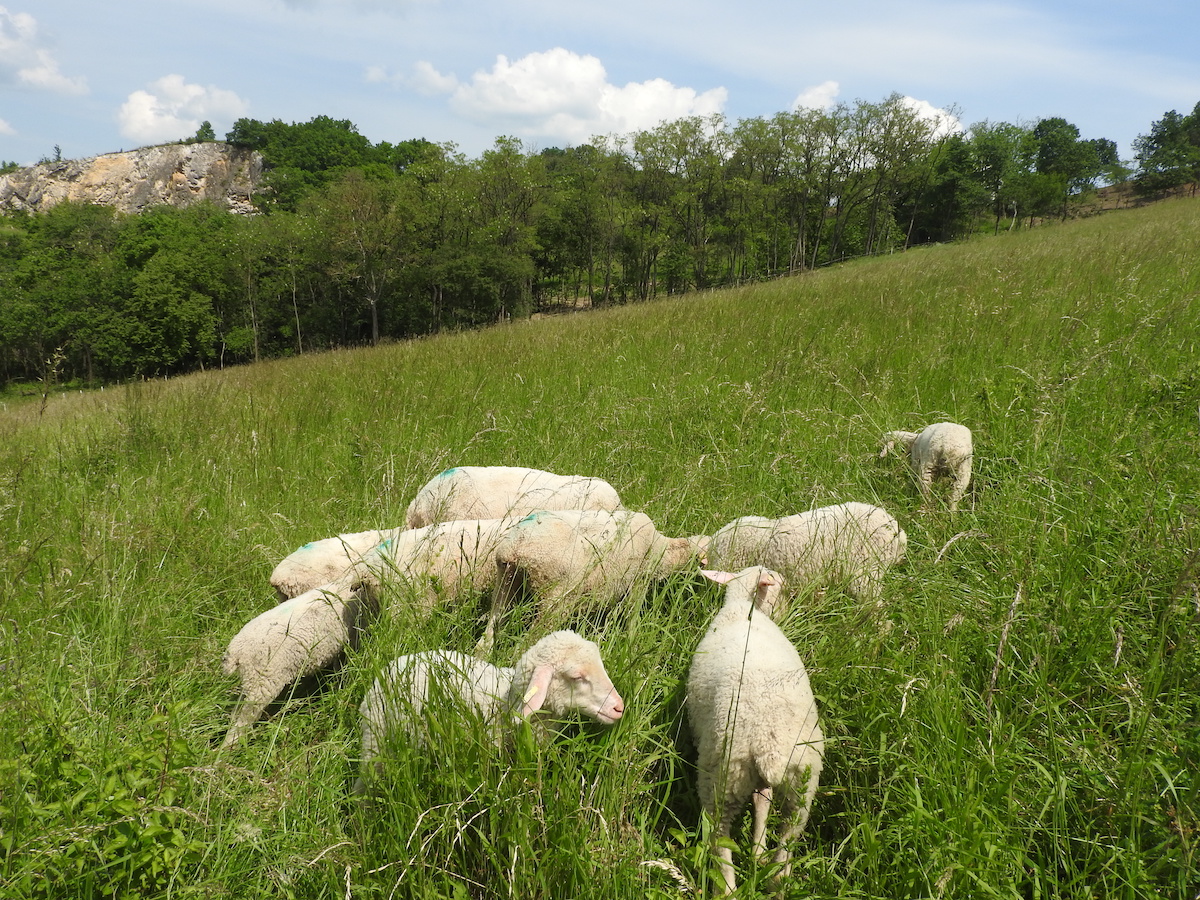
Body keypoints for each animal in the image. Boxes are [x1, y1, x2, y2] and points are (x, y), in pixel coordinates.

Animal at [221, 572, 375, 748]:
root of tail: (236, 651)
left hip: (252, 680)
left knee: (237, 712)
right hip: (262, 682)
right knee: (243, 719)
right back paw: (230, 748)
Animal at [479, 508, 710, 653]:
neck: (664, 550)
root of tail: (516, 546)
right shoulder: (638, 581)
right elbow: (632, 617)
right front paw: (631, 643)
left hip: (506, 582)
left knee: (489, 635)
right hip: (556, 598)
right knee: (527, 643)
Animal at [686, 567, 824, 895]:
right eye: (782, 587)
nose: (788, 606)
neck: (741, 608)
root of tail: (766, 745)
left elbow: (762, 800)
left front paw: (757, 849)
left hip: (789, 781)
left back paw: (767, 872)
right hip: (727, 781)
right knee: (726, 845)